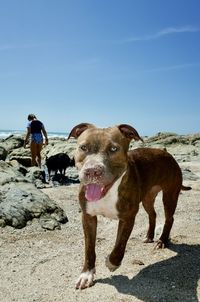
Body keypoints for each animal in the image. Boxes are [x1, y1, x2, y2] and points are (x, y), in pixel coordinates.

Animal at [68, 123, 191, 290]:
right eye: (83, 147)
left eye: (113, 149)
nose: (92, 171)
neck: (108, 191)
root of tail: (167, 153)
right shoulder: (88, 217)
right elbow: (89, 249)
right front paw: (87, 274)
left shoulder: (128, 217)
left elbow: (120, 244)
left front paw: (112, 262)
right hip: (147, 198)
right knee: (152, 214)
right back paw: (149, 236)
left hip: (170, 195)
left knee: (169, 218)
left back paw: (162, 241)